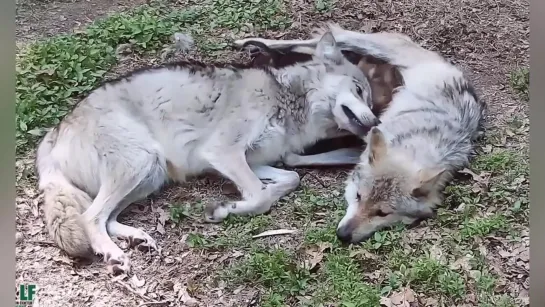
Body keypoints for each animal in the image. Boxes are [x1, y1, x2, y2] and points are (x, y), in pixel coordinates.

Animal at [35, 32, 382, 276]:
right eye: (360, 90)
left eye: (370, 99)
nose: (376, 122)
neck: (286, 98)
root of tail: (51, 136)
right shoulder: (222, 152)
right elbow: (260, 195)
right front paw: (227, 208)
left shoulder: (255, 160)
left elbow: (290, 179)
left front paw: (235, 204)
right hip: (140, 163)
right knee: (90, 217)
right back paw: (115, 254)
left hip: (150, 174)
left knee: (107, 218)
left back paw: (136, 238)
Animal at [234, 22, 484, 244]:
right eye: (358, 196)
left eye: (382, 213)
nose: (343, 235)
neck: (416, 145)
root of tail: (451, 69)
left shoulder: (358, 149)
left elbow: (297, 158)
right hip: (375, 46)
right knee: (334, 34)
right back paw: (254, 42)